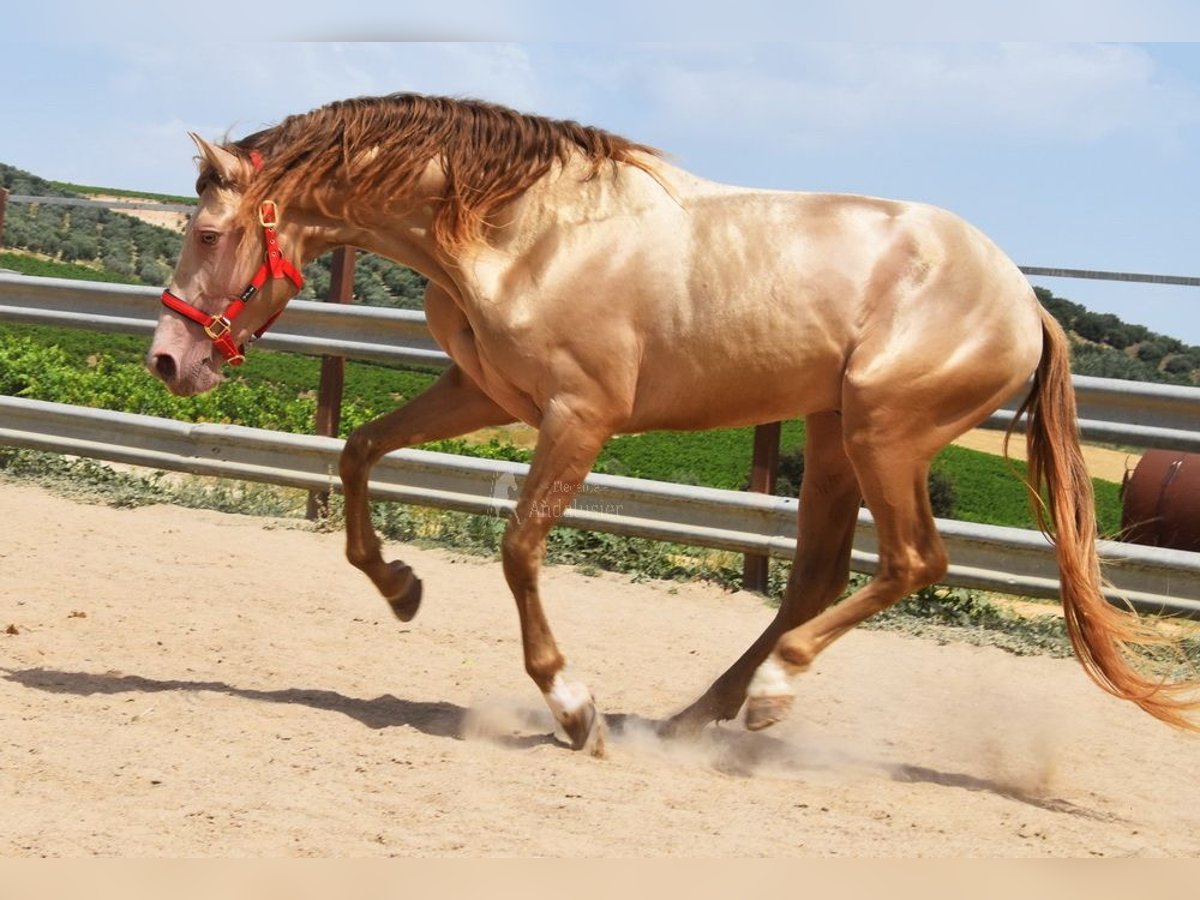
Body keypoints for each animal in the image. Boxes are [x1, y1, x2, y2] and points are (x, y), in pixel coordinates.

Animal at [148, 93, 1198, 754]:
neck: (524, 233)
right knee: (816, 577)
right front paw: (401, 587)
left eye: (208, 233)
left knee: (913, 563)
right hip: (832, 436)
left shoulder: (580, 417)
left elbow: (520, 548)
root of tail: (1025, 303)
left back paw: (768, 696)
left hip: (885, 434)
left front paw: (574, 708)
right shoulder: (484, 394)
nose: (168, 360)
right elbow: (359, 451)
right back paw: (695, 718)